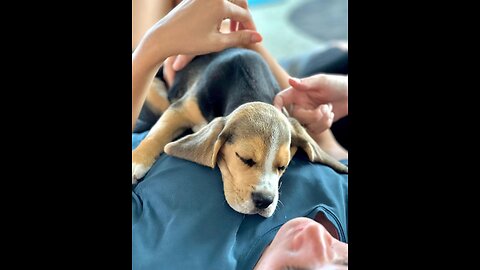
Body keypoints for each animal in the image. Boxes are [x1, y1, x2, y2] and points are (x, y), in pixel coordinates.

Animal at [133, 48, 346, 217]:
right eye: (244, 158)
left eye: (282, 167)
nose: (264, 201)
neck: (249, 83)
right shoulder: (181, 109)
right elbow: (156, 135)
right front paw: (137, 161)